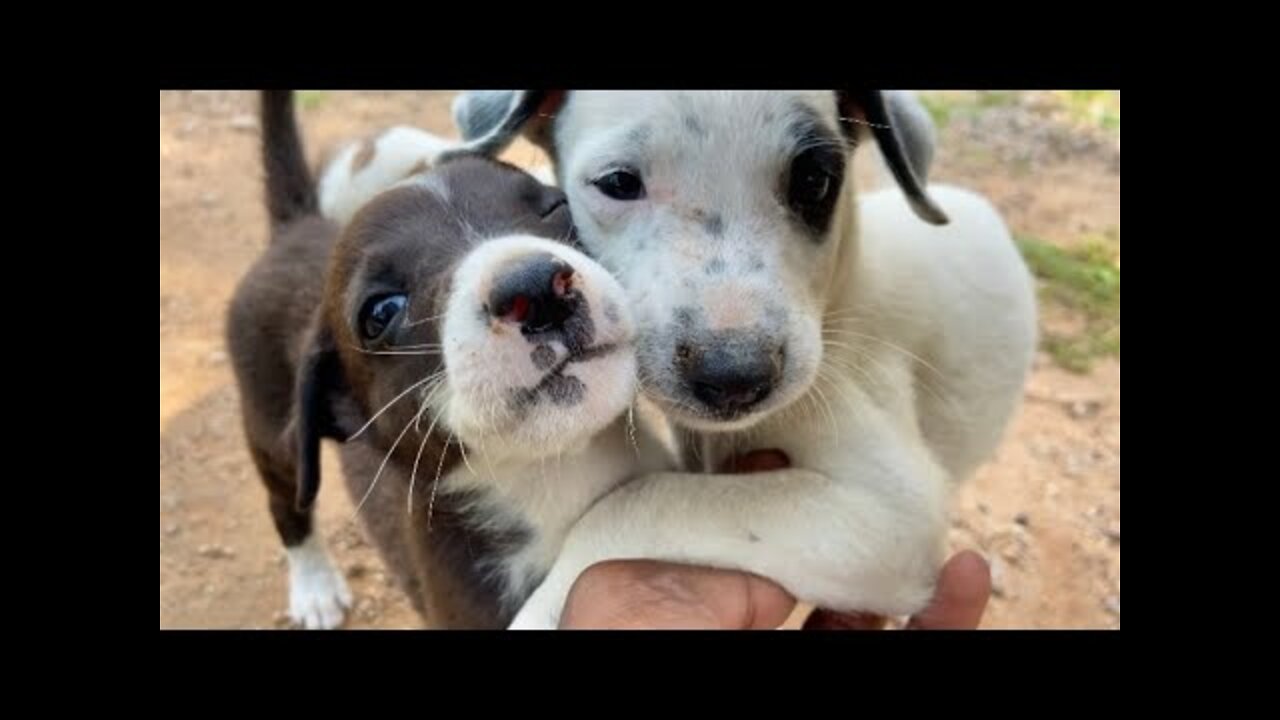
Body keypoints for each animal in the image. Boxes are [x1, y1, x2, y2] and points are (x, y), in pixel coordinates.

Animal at [225, 90, 645, 627]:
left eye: (555, 206)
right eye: (381, 311)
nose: (535, 288)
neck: (563, 477)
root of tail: (294, 225)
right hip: (268, 428)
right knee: (286, 505)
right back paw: (314, 588)